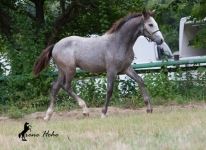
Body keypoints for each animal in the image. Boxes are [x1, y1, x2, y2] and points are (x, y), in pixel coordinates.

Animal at [33, 8, 164, 120]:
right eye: (150, 24)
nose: (161, 40)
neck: (118, 42)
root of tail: (55, 45)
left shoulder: (126, 68)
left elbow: (140, 81)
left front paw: (149, 109)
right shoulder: (111, 70)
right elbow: (109, 90)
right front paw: (103, 113)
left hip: (62, 71)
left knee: (55, 87)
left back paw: (48, 115)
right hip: (70, 70)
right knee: (66, 86)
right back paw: (85, 110)